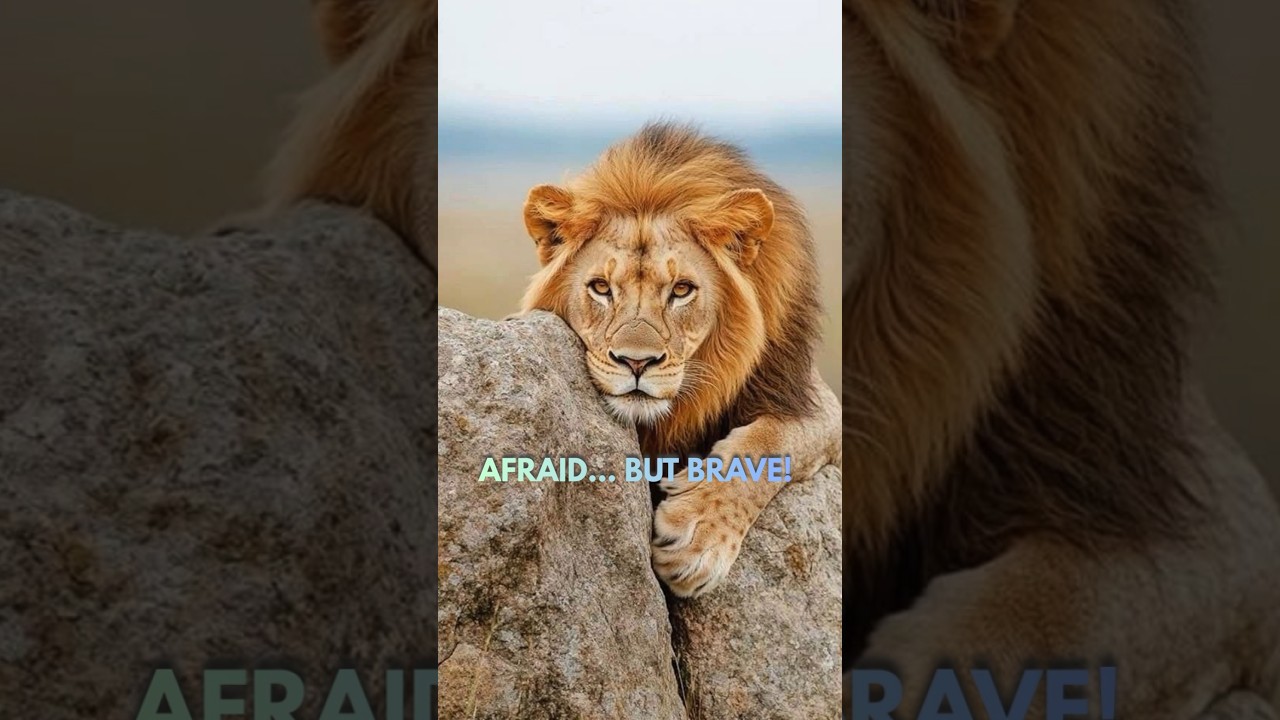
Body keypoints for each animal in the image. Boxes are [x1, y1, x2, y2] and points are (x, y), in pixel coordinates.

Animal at [518, 123, 841, 597]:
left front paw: (696, 539)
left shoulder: (807, 394)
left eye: (682, 290)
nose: (636, 363)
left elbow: (773, 442)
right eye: (601, 287)